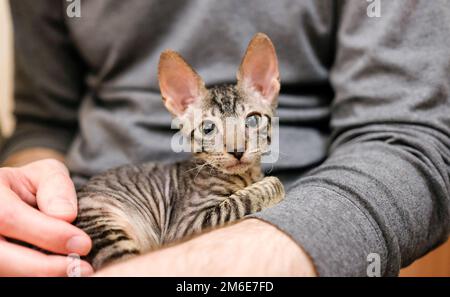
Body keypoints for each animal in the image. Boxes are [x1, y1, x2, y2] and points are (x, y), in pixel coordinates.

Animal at [75, 33, 284, 270]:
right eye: (208, 128)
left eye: (253, 120)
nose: (237, 150)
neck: (246, 176)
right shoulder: (188, 223)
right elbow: (246, 197)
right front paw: (271, 183)